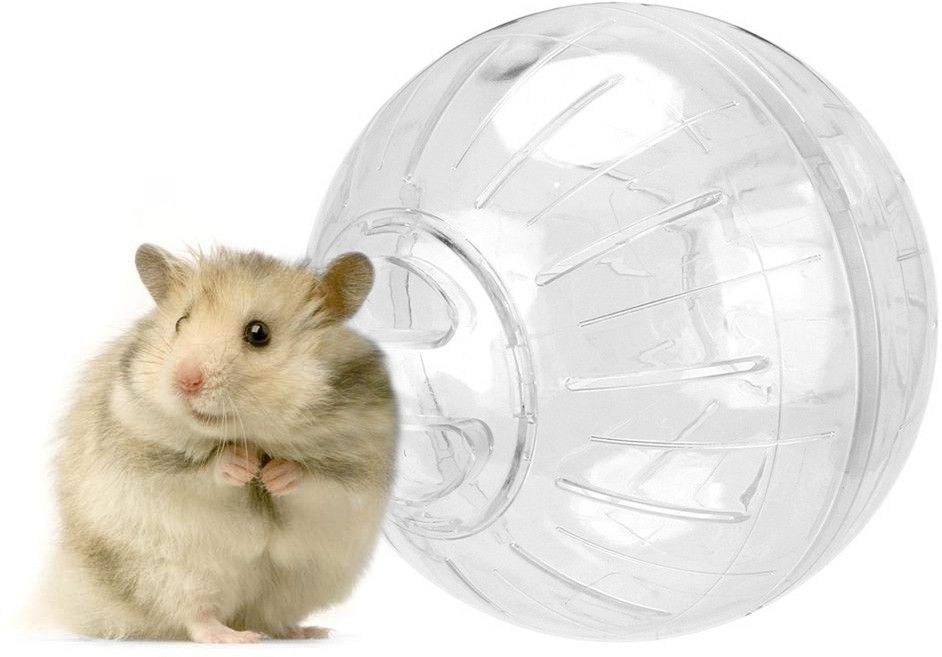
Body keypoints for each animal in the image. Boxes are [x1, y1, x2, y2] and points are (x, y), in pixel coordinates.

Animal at [46, 244, 397, 642]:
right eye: (180, 323)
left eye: (258, 333)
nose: (185, 381)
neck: (253, 434)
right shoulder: (144, 449)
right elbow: (201, 470)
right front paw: (241, 465)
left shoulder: (360, 463)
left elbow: (315, 478)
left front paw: (274, 473)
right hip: (170, 572)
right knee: (195, 616)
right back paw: (235, 637)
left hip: (300, 582)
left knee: (269, 617)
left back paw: (306, 631)